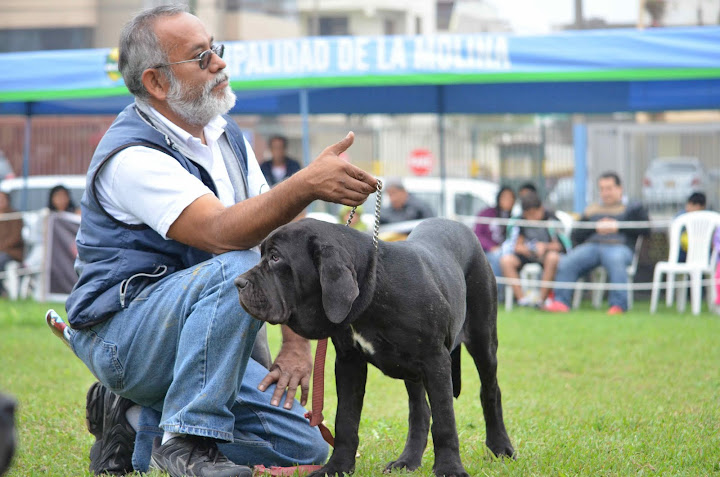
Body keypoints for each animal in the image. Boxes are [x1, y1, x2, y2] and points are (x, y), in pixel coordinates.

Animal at [235, 218, 512, 474]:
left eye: (275, 257)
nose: (238, 282)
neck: (375, 289)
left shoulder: (436, 361)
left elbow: (445, 420)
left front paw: (449, 469)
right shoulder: (349, 362)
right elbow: (346, 419)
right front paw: (337, 467)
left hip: (482, 339)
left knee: (490, 391)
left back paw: (501, 448)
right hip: (414, 372)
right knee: (419, 411)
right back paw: (407, 461)